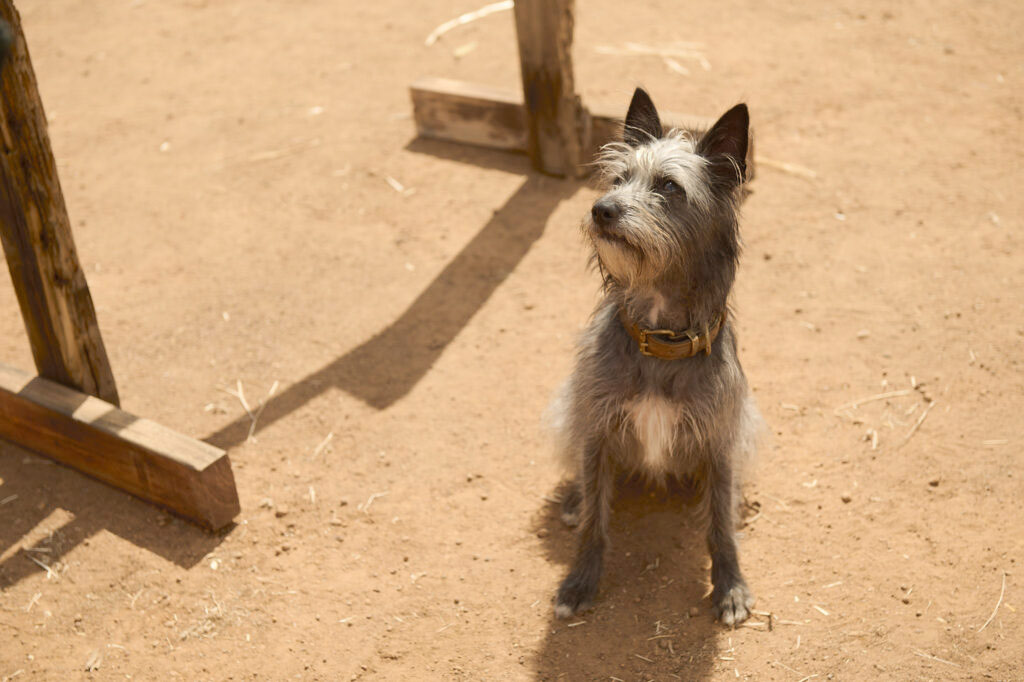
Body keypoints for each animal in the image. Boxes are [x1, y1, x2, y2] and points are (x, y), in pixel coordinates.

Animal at [548, 87, 765, 622]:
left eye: (669, 186)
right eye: (619, 178)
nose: (601, 210)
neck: (659, 341)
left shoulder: (720, 438)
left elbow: (719, 524)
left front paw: (730, 586)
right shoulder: (598, 429)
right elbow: (595, 520)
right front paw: (579, 582)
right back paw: (572, 498)